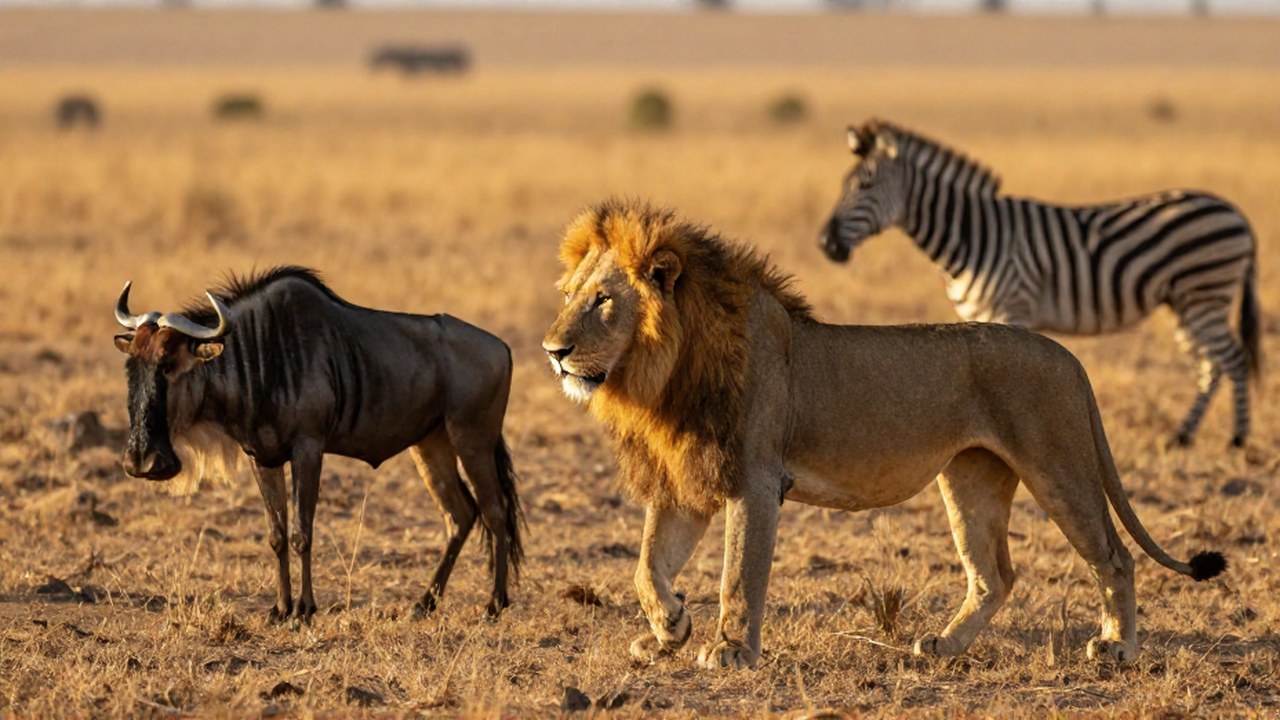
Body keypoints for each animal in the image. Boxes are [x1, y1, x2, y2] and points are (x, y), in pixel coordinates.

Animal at [541, 198, 1225, 670]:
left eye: (603, 300)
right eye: (569, 295)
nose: (553, 351)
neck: (667, 372)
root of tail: (1068, 357)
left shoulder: (755, 480)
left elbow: (739, 574)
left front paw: (730, 650)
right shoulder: (688, 478)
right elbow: (647, 565)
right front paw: (668, 630)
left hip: (1059, 466)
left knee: (1114, 556)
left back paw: (1117, 647)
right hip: (971, 479)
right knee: (994, 575)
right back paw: (943, 646)